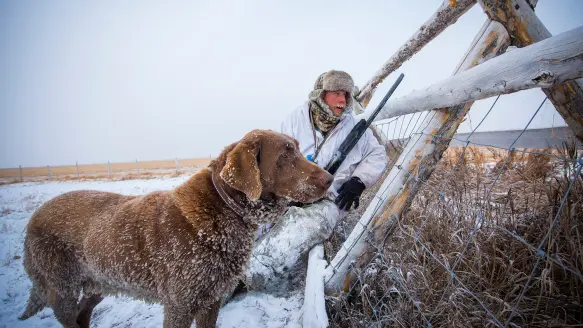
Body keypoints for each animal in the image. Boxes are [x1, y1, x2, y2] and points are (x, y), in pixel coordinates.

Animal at [18, 129, 334, 326]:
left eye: (297, 148)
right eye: (284, 154)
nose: (330, 178)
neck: (223, 210)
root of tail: (33, 218)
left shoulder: (211, 300)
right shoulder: (179, 304)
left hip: (99, 282)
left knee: (83, 315)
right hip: (62, 289)